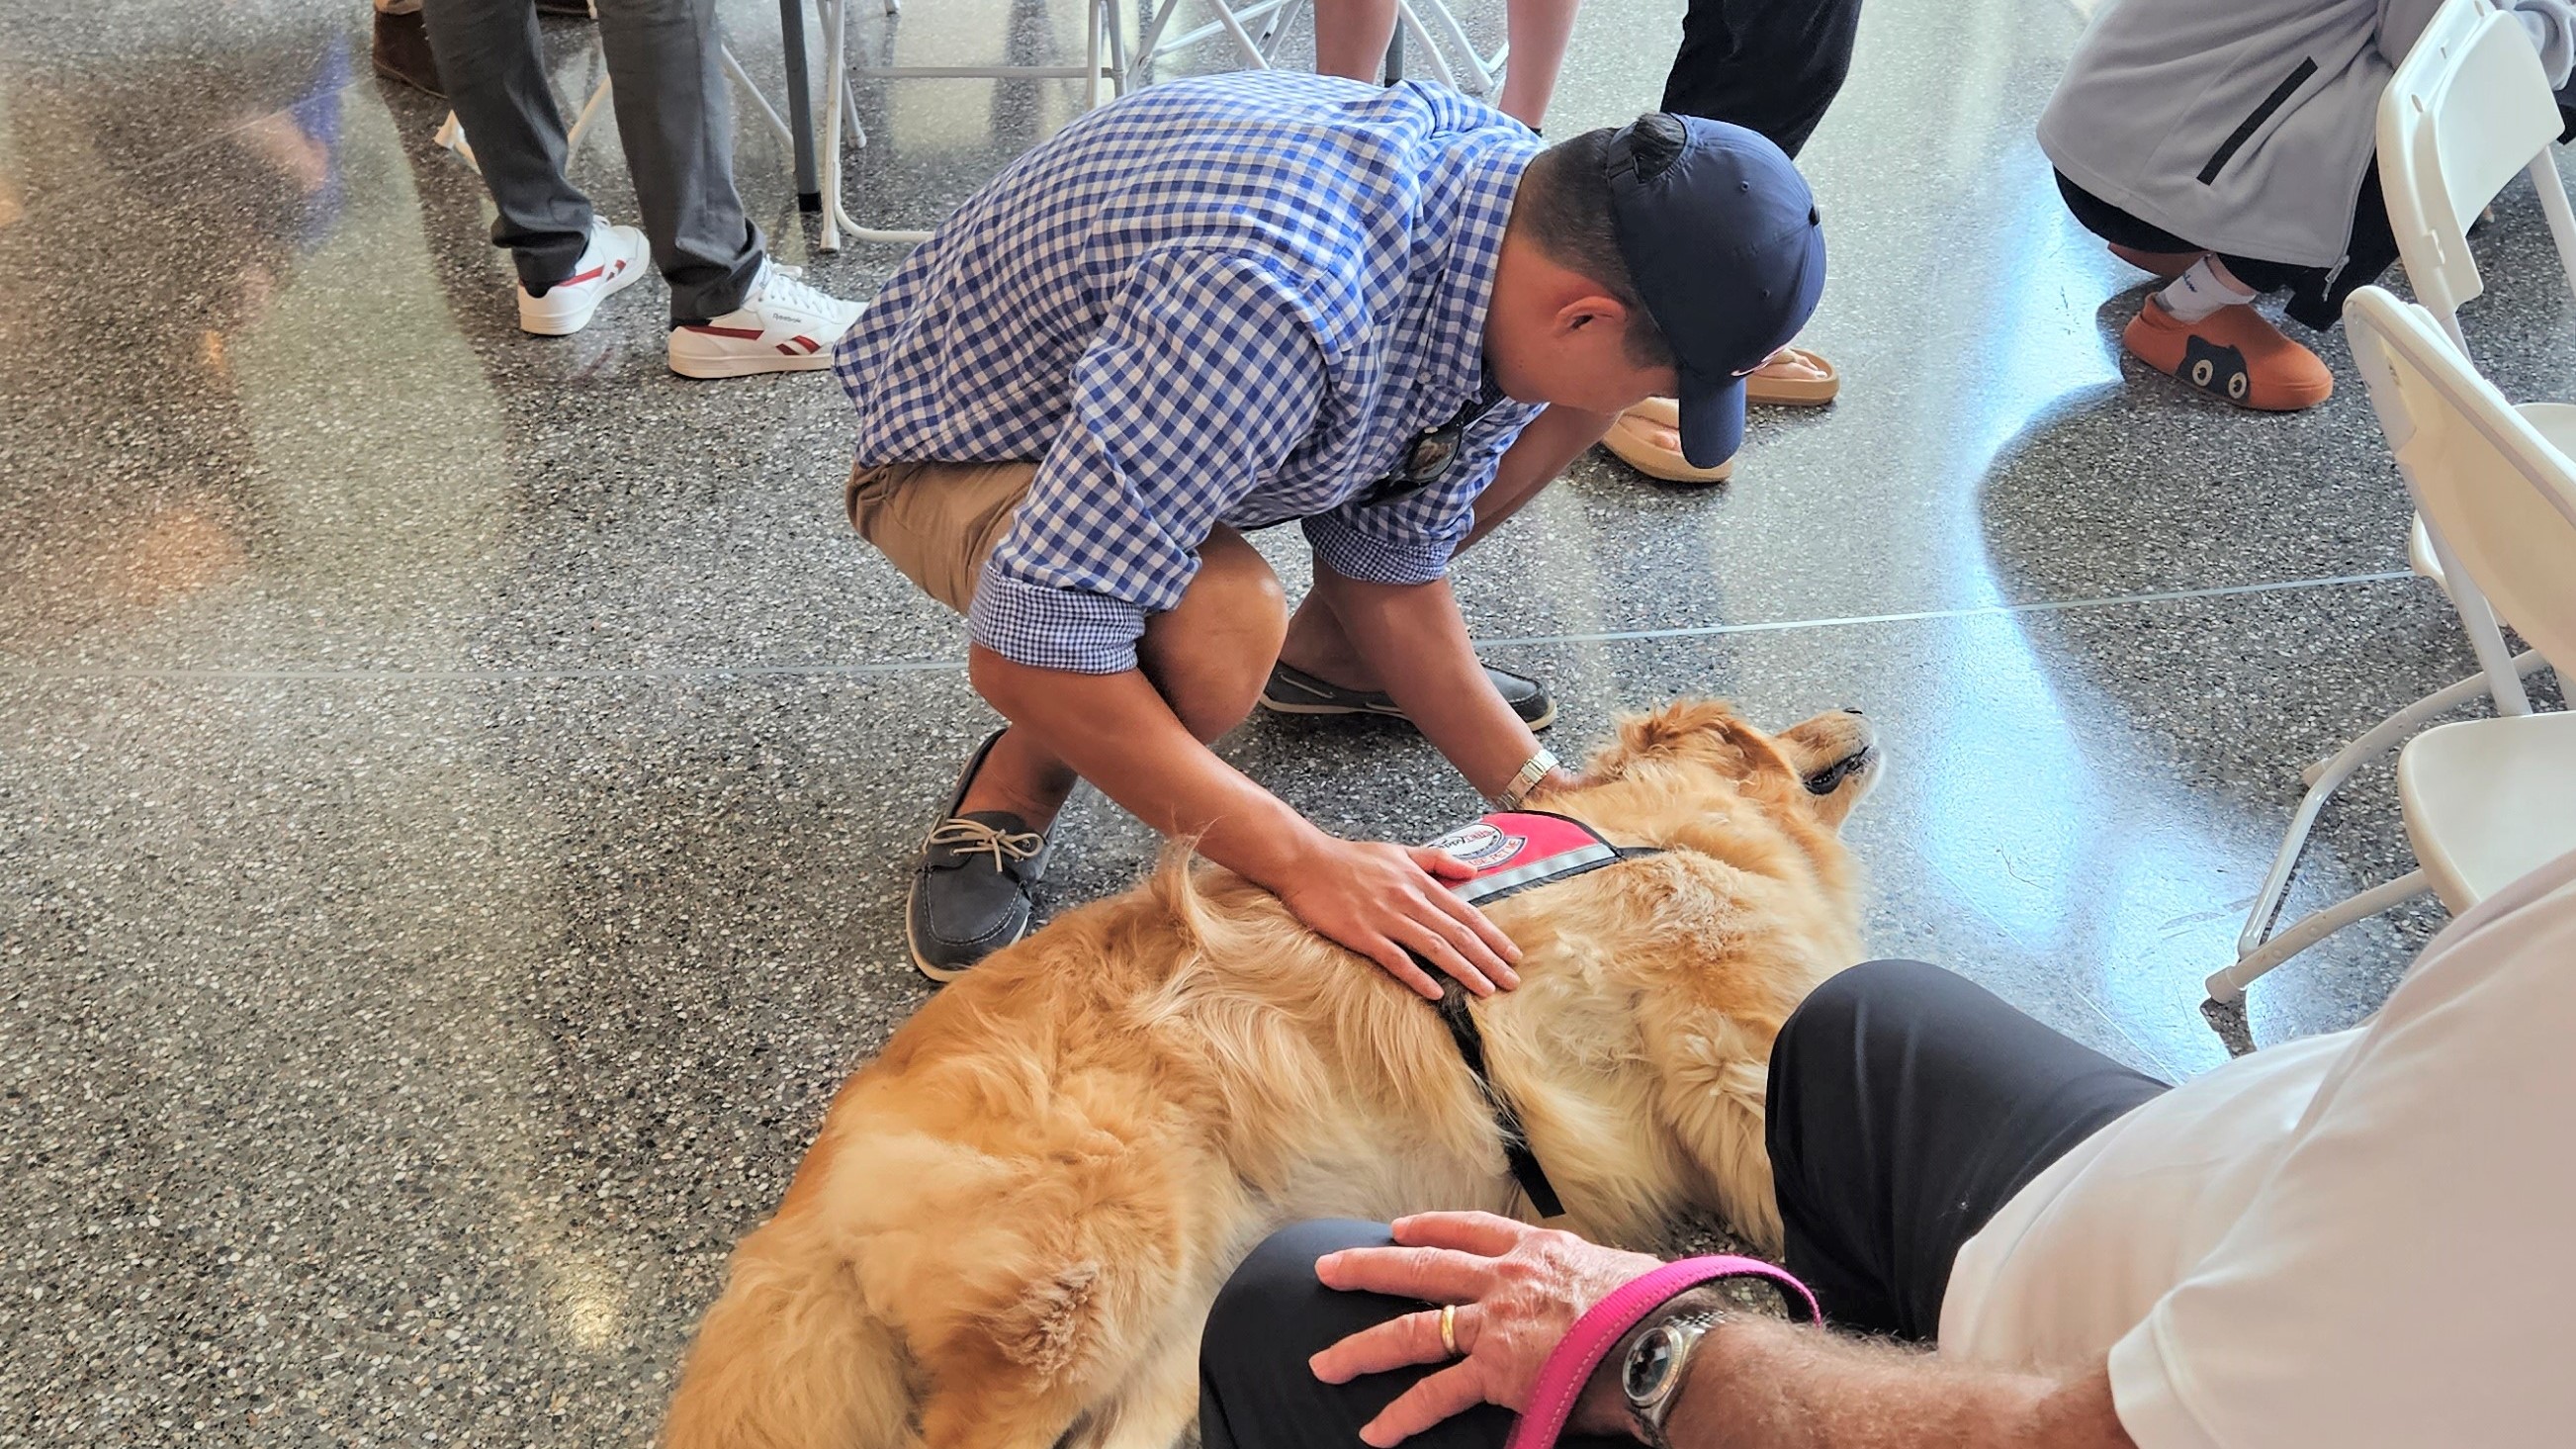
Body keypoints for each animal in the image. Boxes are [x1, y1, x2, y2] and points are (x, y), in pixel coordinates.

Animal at [665, 695, 1875, 1443]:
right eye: (1776, 719)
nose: (1861, 707)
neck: (1656, 827)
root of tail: (821, 1167)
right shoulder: (1734, 1033)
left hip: (1171, 1317)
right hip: (1090, 1279)